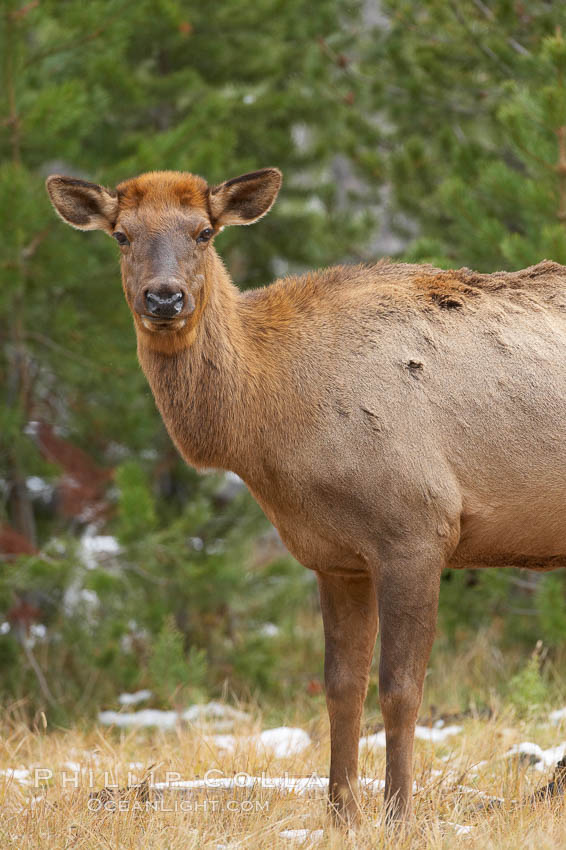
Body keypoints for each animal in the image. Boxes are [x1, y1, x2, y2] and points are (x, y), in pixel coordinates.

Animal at [45, 166, 566, 820]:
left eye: (204, 232)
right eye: (121, 235)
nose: (164, 299)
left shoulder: (418, 529)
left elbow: (401, 689)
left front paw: (399, 814)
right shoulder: (335, 557)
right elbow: (341, 687)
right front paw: (340, 813)